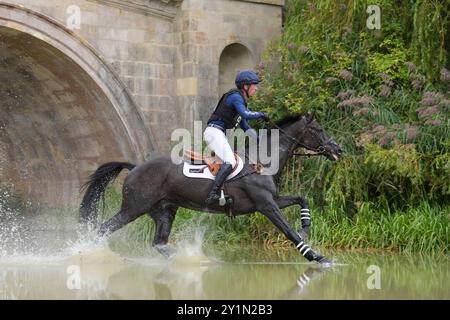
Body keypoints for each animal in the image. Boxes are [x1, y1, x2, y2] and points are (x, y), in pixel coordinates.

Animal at [80, 114, 342, 264]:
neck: (263, 162)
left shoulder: (272, 200)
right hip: (134, 208)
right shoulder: (266, 205)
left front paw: (306, 226)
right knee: (103, 229)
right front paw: (316, 256)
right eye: (319, 130)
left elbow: (302, 199)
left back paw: (187, 260)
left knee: (159, 243)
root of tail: (135, 167)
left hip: (164, 210)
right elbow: (288, 231)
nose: (338, 150)